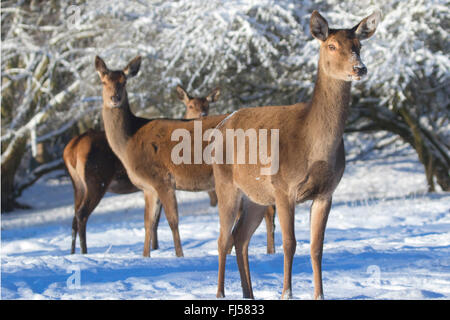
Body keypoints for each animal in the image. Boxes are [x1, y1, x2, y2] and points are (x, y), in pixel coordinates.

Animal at [64, 85, 222, 255]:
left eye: (207, 105)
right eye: (190, 106)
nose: (203, 115)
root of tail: (70, 149)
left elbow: (154, 220)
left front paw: (155, 247)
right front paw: (155, 247)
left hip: (78, 185)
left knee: (74, 217)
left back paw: (73, 252)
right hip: (96, 180)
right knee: (82, 214)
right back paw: (84, 252)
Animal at [213, 10, 382, 300]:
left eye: (358, 45)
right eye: (331, 45)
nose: (359, 68)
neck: (313, 146)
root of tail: (221, 124)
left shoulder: (327, 192)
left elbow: (317, 246)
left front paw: (320, 295)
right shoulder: (283, 187)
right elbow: (289, 243)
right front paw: (287, 293)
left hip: (257, 196)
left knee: (240, 237)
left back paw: (249, 294)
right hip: (225, 183)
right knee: (223, 239)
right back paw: (221, 294)